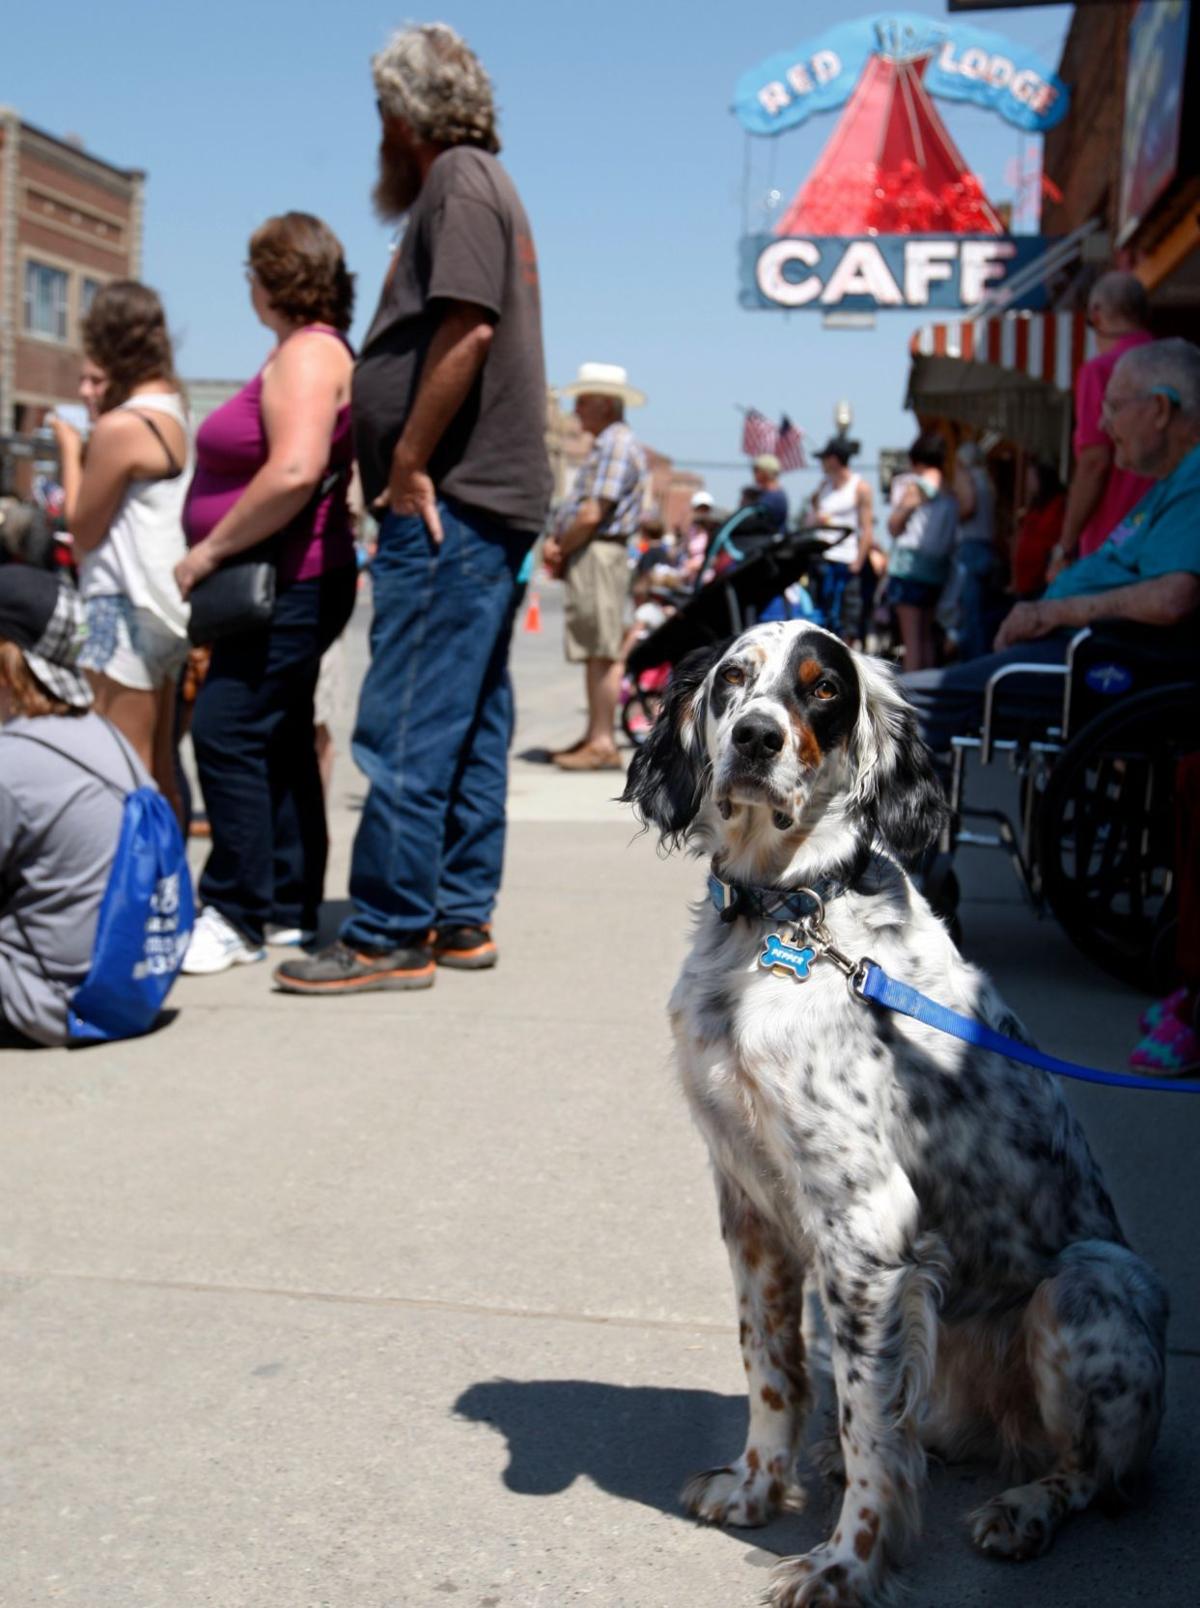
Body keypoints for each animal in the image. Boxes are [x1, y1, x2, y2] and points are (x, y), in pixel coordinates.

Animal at [620, 620, 1164, 1608]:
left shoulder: (865, 1228)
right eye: (732, 679)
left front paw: (846, 1564)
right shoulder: (750, 1207)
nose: (756, 738)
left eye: (824, 688)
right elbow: (772, 1368)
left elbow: (871, 1428)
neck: (784, 919)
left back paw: (1025, 1508)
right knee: (909, 1420)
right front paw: (757, 1488)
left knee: (1089, 1471)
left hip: (1088, 1283)